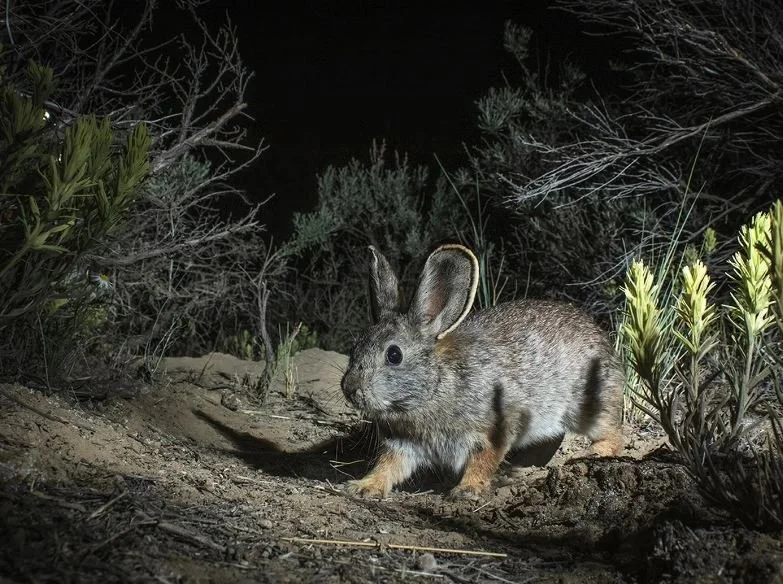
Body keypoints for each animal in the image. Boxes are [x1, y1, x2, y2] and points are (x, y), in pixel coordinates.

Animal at [340, 244, 624, 498]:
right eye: (355, 347)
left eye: (394, 355)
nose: (349, 388)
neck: (435, 388)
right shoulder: (403, 443)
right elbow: (388, 466)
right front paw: (363, 486)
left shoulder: (494, 429)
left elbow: (483, 460)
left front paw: (468, 489)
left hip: (589, 405)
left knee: (611, 433)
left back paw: (594, 452)